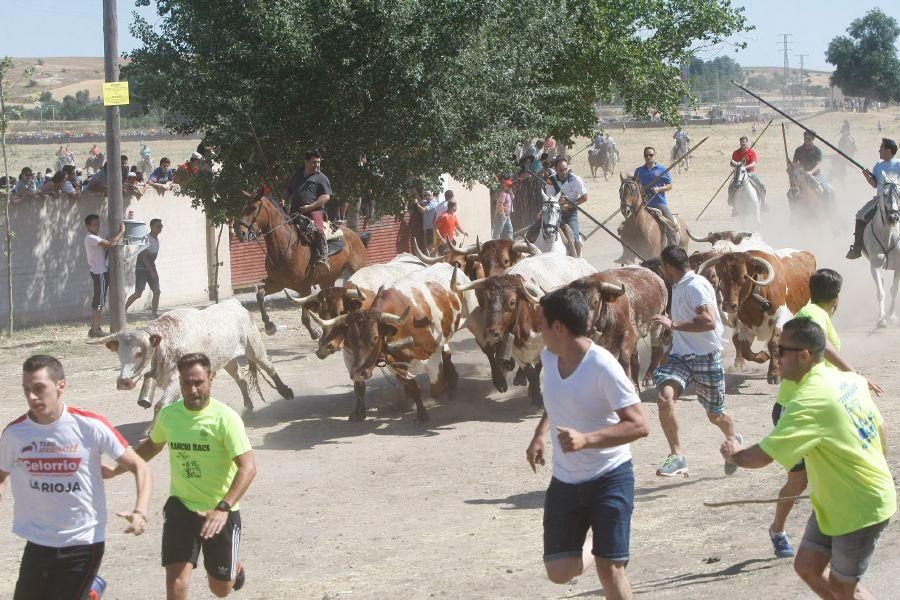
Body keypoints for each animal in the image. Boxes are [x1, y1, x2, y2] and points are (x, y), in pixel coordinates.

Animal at [88, 298, 292, 420]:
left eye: (139, 353)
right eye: (119, 353)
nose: (123, 382)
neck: (166, 342)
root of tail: (236, 304)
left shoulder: (175, 380)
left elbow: (160, 405)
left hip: (255, 349)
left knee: (270, 367)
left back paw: (286, 391)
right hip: (228, 361)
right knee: (241, 380)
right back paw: (248, 407)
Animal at [236, 188, 372, 338]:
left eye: (253, 208)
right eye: (243, 208)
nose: (240, 233)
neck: (285, 248)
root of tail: (355, 235)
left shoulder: (304, 288)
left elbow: (305, 318)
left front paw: (315, 333)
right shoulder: (277, 284)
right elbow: (259, 295)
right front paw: (269, 325)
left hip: (356, 269)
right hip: (327, 280)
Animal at [310, 262, 478, 422]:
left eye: (375, 337)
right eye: (350, 337)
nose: (357, 373)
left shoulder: (433, 355)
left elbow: (436, 388)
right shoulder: (391, 362)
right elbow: (412, 387)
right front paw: (421, 414)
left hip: (471, 314)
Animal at [696, 250, 816, 384]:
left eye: (744, 276)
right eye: (720, 274)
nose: (729, 306)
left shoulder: (781, 318)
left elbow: (773, 343)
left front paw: (774, 373)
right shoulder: (745, 326)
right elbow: (745, 350)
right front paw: (764, 355)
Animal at [856, 173, 900, 328]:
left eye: (899, 193)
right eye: (884, 194)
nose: (893, 217)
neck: (889, 235)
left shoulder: (899, 267)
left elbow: (894, 290)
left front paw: (892, 316)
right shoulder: (875, 265)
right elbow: (881, 292)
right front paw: (882, 319)